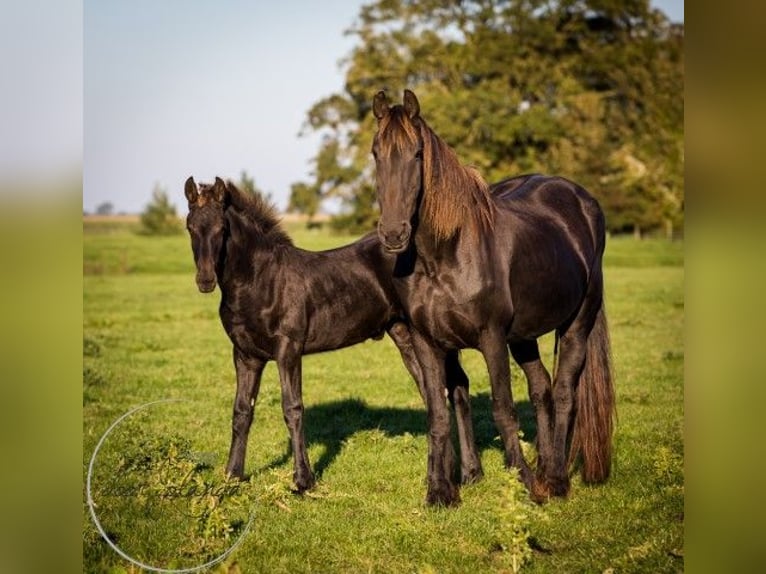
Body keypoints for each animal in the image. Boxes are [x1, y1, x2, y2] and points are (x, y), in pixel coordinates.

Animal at [183, 176, 483, 494]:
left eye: (222, 229)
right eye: (190, 227)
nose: (205, 280)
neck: (261, 280)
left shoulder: (288, 349)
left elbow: (292, 408)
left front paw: (303, 481)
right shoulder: (245, 355)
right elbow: (241, 412)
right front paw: (232, 475)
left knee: (456, 389)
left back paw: (465, 474)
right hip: (405, 335)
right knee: (434, 393)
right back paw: (453, 473)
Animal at [371, 90, 616, 506]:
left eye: (417, 153)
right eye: (376, 153)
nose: (393, 234)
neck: (446, 254)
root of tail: (582, 200)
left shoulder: (492, 337)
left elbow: (503, 409)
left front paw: (526, 483)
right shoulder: (426, 340)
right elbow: (438, 412)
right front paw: (440, 491)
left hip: (577, 322)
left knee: (565, 391)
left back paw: (555, 479)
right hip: (525, 336)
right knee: (542, 387)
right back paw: (546, 467)